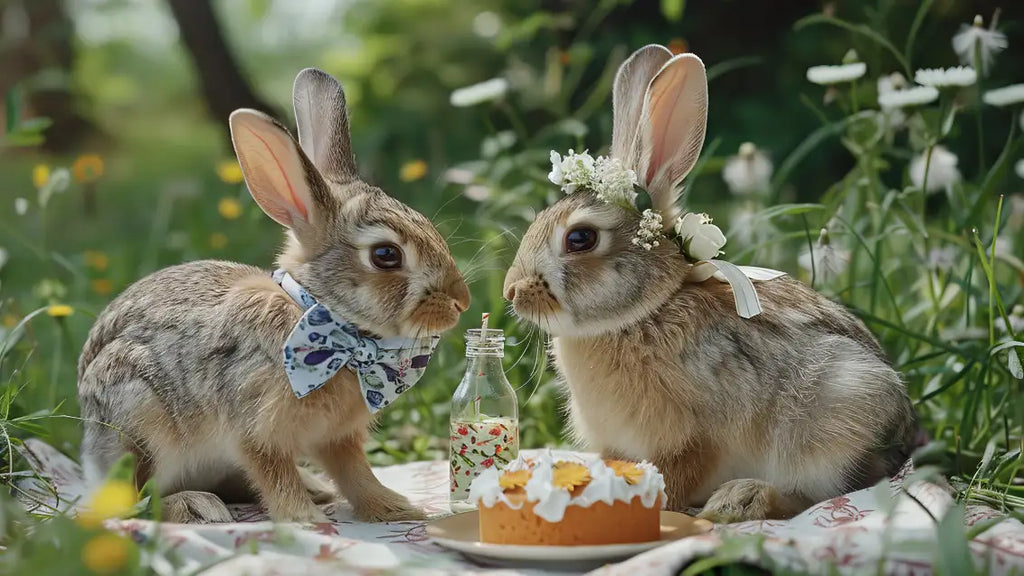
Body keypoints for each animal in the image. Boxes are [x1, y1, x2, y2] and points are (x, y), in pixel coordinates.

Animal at [77, 68, 470, 524]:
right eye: (386, 255)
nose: (461, 302)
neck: (323, 317)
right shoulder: (256, 428)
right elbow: (273, 473)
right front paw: (305, 520)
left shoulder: (337, 437)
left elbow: (356, 473)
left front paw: (395, 509)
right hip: (138, 423)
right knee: (136, 500)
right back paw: (196, 506)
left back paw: (314, 488)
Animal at [502, 45, 918, 523]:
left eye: (580, 238)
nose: (512, 292)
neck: (644, 313)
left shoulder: (697, 436)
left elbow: (676, 474)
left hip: (837, 419)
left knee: (817, 495)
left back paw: (740, 501)